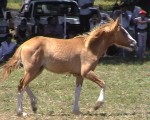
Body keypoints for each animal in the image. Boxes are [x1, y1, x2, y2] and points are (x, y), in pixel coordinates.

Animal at [1, 17, 137, 116]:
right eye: (123, 31)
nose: (134, 43)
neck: (90, 47)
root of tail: (23, 44)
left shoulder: (80, 75)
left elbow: (78, 91)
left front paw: (76, 111)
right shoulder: (87, 72)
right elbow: (103, 84)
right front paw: (96, 106)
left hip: (37, 70)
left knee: (24, 84)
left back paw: (34, 106)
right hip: (32, 70)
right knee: (21, 85)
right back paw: (21, 112)